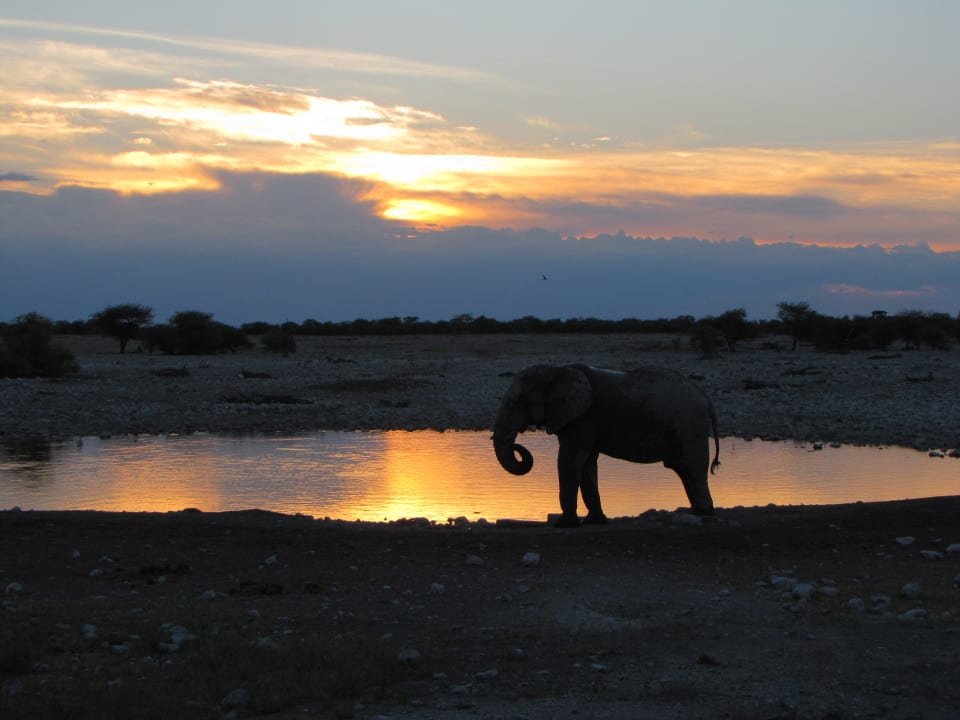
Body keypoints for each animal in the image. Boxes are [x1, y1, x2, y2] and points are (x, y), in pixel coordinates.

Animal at [492, 363, 720, 527]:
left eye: (515, 403)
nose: (519, 447)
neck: (558, 370)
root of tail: (706, 399)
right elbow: (587, 464)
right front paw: (594, 522)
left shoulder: (584, 418)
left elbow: (570, 460)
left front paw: (564, 524)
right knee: (685, 470)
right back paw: (697, 511)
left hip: (688, 426)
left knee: (691, 466)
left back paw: (704, 512)